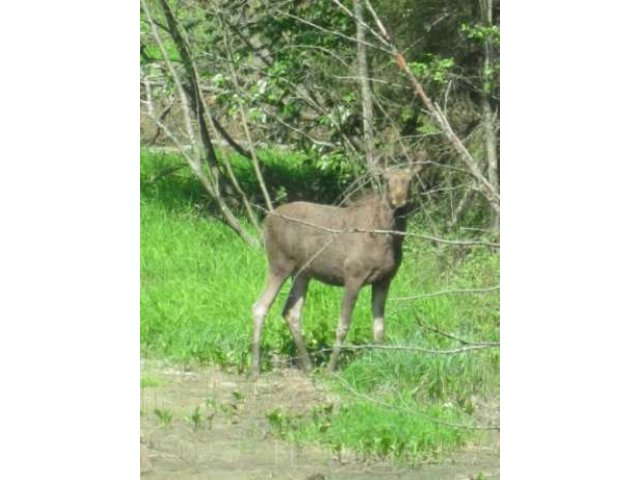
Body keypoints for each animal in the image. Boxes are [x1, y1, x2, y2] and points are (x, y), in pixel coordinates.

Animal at [250, 154, 424, 376]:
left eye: (410, 180)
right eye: (386, 180)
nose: (399, 202)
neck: (390, 238)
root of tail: (266, 220)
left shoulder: (385, 279)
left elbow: (379, 327)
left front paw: (381, 364)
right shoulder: (353, 275)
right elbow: (343, 326)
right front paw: (331, 369)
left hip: (302, 273)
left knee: (291, 311)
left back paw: (308, 365)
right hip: (279, 264)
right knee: (259, 306)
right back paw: (256, 368)